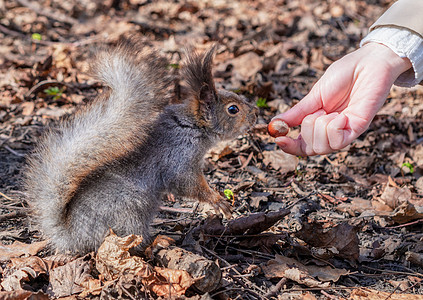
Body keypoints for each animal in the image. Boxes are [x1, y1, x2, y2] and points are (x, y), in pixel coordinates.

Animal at [24, 38, 258, 254]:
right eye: (233, 109)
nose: (256, 114)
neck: (192, 126)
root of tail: (71, 237)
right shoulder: (179, 158)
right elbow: (188, 184)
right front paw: (217, 200)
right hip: (129, 214)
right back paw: (156, 243)